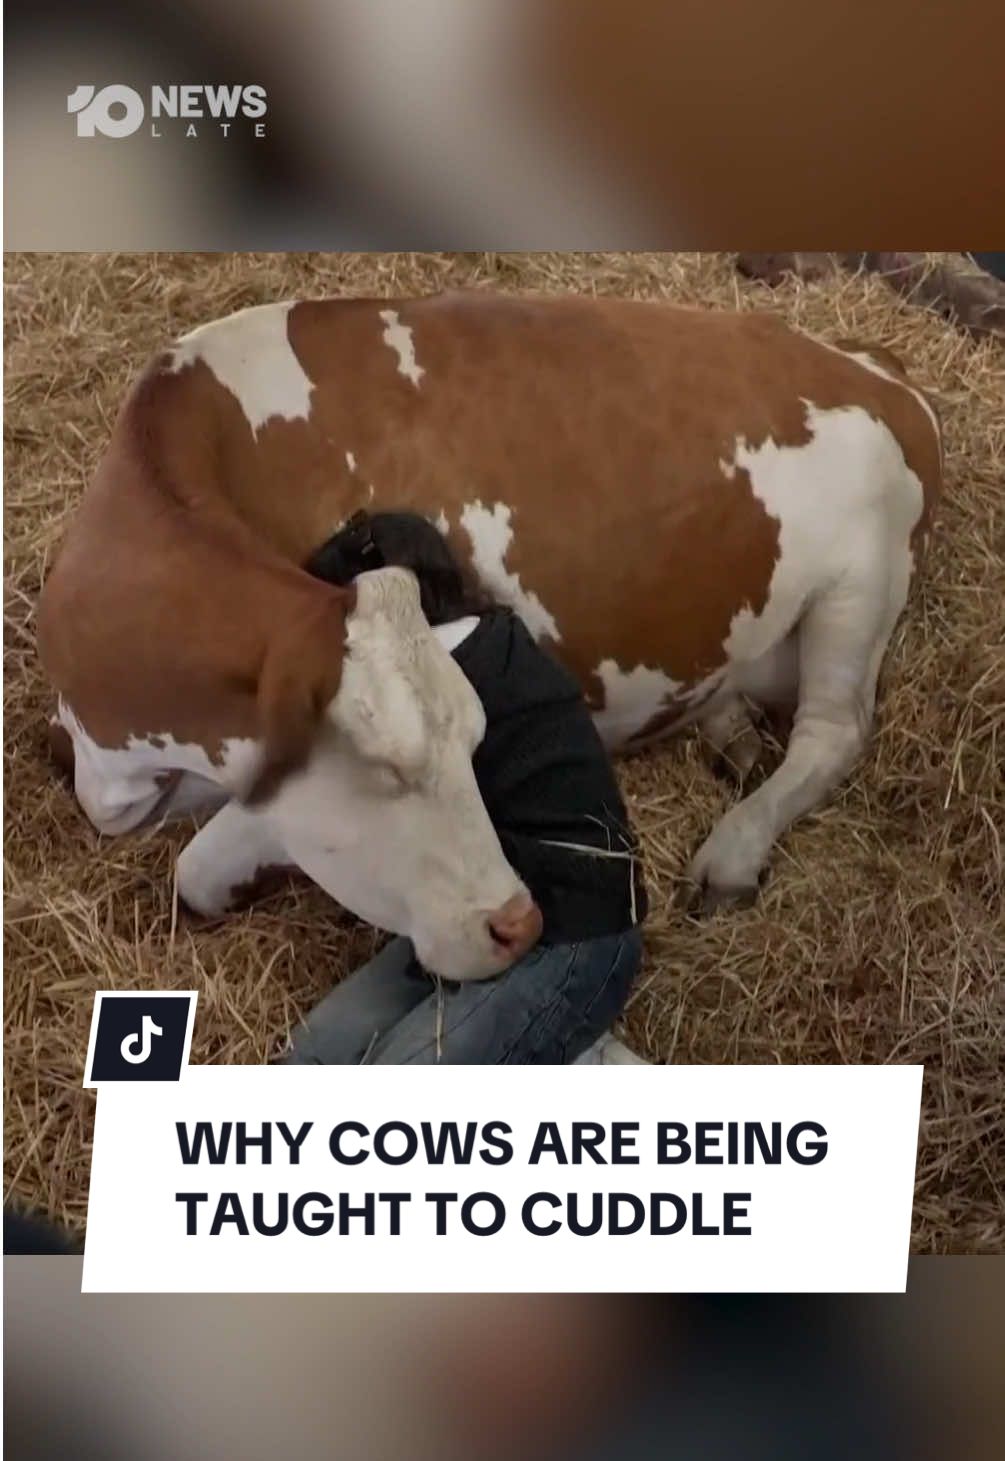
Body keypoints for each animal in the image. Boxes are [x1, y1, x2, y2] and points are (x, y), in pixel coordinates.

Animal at [38, 289, 942, 962]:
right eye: (384, 770)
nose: (515, 920)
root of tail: (871, 364)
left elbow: (197, 864)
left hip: (859, 580)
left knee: (832, 731)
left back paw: (732, 852)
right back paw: (729, 731)